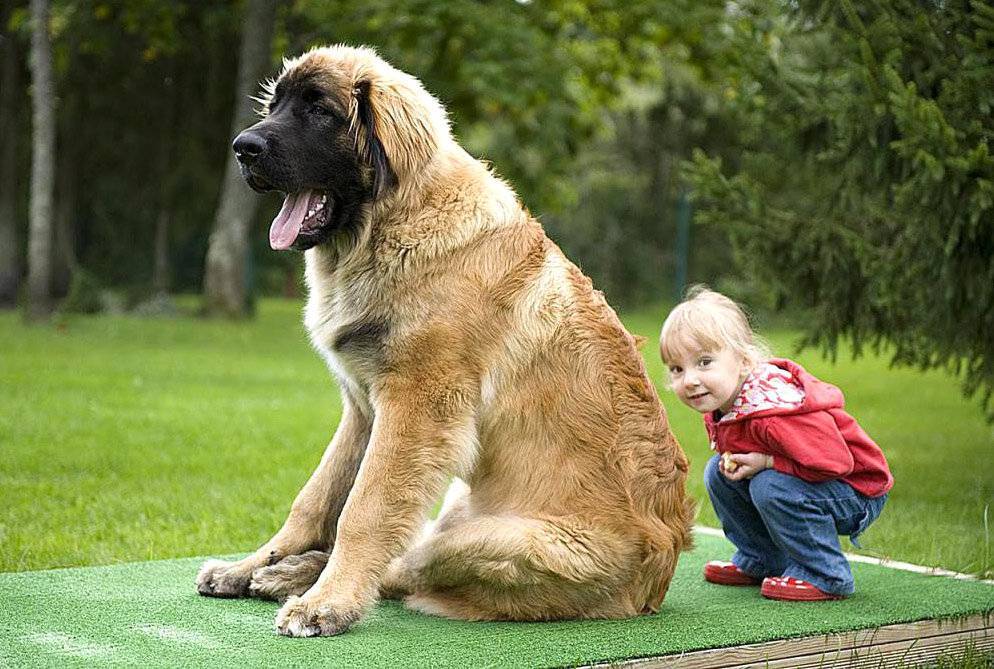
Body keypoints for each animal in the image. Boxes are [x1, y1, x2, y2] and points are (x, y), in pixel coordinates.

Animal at [194, 47, 688, 636]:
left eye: (319, 111)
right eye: (277, 107)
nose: (242, 148)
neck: (393, 223)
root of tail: (656, 582)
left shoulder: (418, 408)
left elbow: (365, 509)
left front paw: (326, 604)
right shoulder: (363, 408)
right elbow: (315, 499)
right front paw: (251, 565)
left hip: (494, 543)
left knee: (405, 566)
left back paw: (300, 582)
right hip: (458, 506)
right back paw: (279, 573)